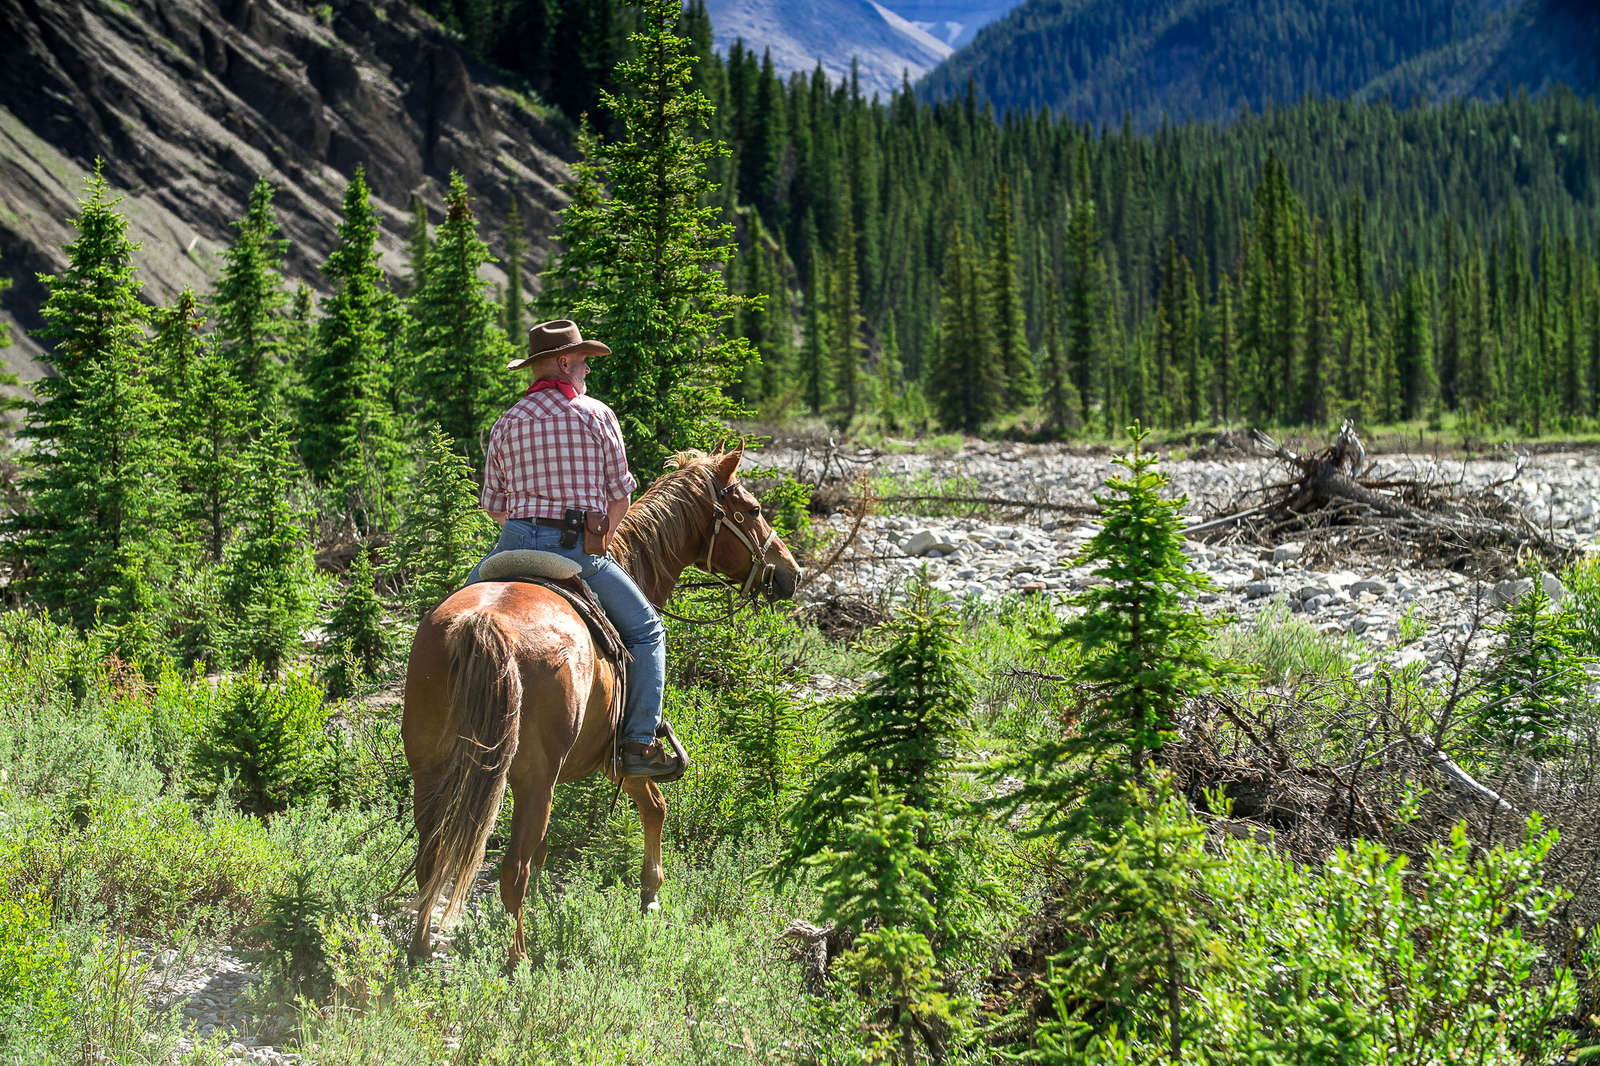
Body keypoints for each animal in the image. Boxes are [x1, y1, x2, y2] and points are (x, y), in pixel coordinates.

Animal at [400, 444, 800, 960]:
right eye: (751, 510)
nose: (791, 573)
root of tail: (484, 622)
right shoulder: (620, 753)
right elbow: (656, 805)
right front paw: (651, 895)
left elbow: (552, 849)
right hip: (533, 779)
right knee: (511, 870)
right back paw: (518, 960)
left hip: (431, 766)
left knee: (433, 858)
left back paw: (420, 949)